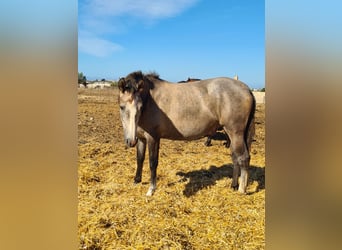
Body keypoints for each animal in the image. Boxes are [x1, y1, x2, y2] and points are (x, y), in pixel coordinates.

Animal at [117, 71, 254, 196]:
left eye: (140, 108)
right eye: (122, 107)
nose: (130, 141)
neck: (150, 101)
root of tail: (246, 89)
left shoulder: (153, 138)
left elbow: (152, 162)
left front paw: (151, 189)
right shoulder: (141, 138)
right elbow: (140, 159)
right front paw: (136, 180)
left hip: (235, 133)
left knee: (243, 158)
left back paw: (242, 189)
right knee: (235, 157)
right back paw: (234, 185)